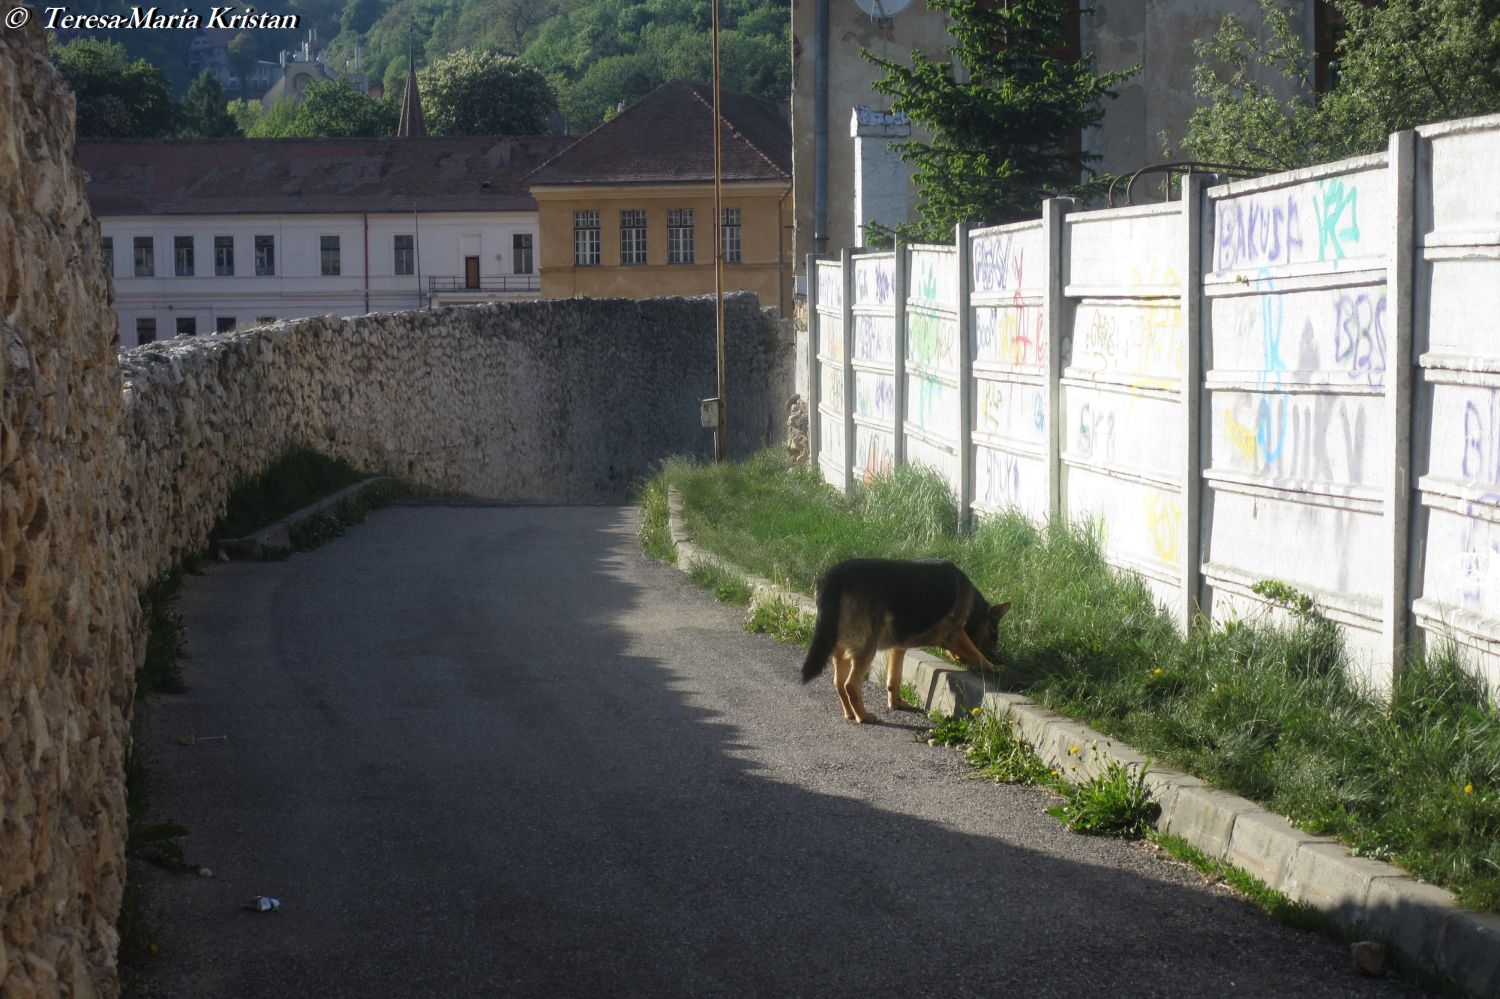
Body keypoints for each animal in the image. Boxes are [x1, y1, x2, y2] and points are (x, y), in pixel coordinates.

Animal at [798, 555, 1008, 720]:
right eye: (994, 635)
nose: (997, 656)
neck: (974, 608)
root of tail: (835, 575)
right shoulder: (956, 633)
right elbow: (977, 655)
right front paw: (994, 667)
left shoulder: (897, 648)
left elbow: (894, 679)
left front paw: (896, 702)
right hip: (867, 648)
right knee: (851, 685)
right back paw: (863, 716)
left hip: (840, 649)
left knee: (839, 683)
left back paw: (850, 713)